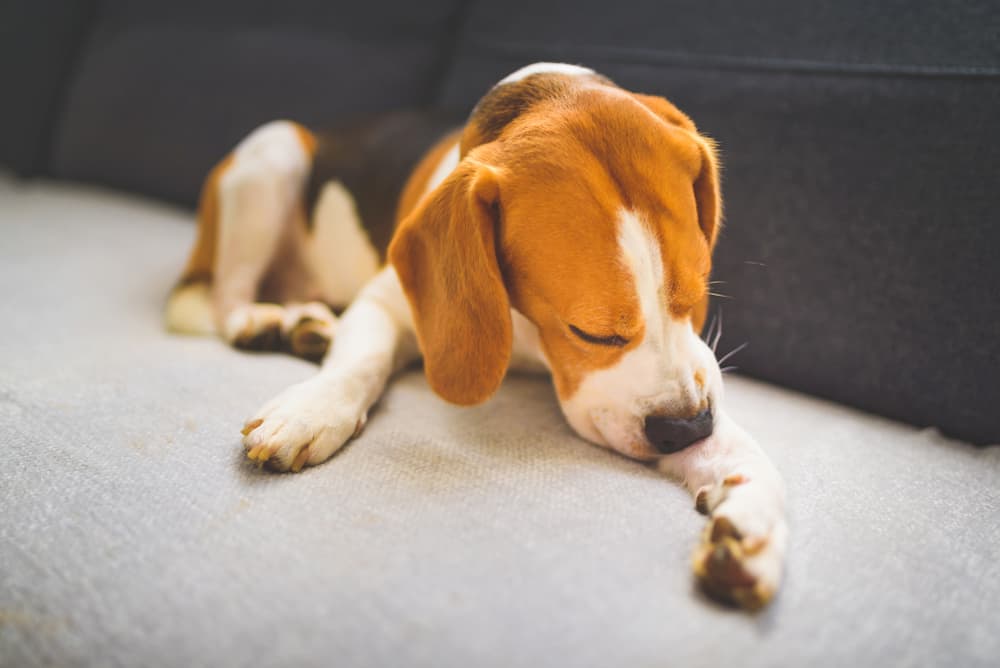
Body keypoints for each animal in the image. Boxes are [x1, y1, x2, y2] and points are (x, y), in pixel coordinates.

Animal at [166, 64, 788, 612]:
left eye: (698, 295)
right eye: (590, 332)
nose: (687, 429)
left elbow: (741, 449)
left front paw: (752, 521)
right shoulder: (383, 302)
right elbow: (360, 361)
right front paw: (312, 409)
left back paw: (304, 324)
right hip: (272, 154)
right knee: (223, 298)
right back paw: (266, 322)